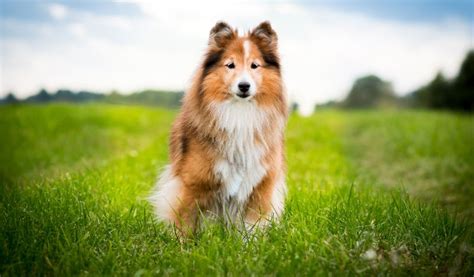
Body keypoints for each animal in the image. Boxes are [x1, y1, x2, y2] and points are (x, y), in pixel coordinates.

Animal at [150, 20, 286, 234]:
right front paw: (180, 243)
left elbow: (251, 228)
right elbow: (184, 223)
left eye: (255, 65)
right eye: (230, 65)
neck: (239, 114)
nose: (244, 86)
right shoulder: (191, 184)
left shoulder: (260, 186)